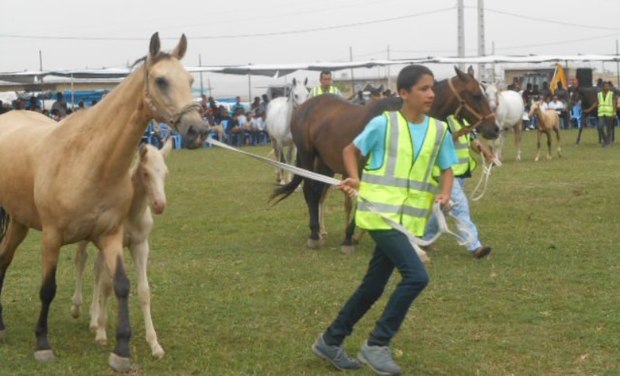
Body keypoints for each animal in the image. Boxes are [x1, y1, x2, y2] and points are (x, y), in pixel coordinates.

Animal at [71, 138, 172, 358]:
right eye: (146, 173)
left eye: (165, 172)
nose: (159, 205)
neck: (131, 213)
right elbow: (108, 286)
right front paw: (102, 333)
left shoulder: (140, 245)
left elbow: (143, 291)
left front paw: (155, 344)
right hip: (84, 238)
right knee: (81, 261)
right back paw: (77, 308)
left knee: (96, 272)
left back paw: (93, 319)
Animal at [272, 66, 498, 254]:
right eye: (477, 95)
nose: (494, 129)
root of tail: (304, 107)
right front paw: (350, 238)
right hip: (307, 155)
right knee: (310, 190)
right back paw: (314, 234)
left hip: (325, 162)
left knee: (318, 192)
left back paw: (320, 231)